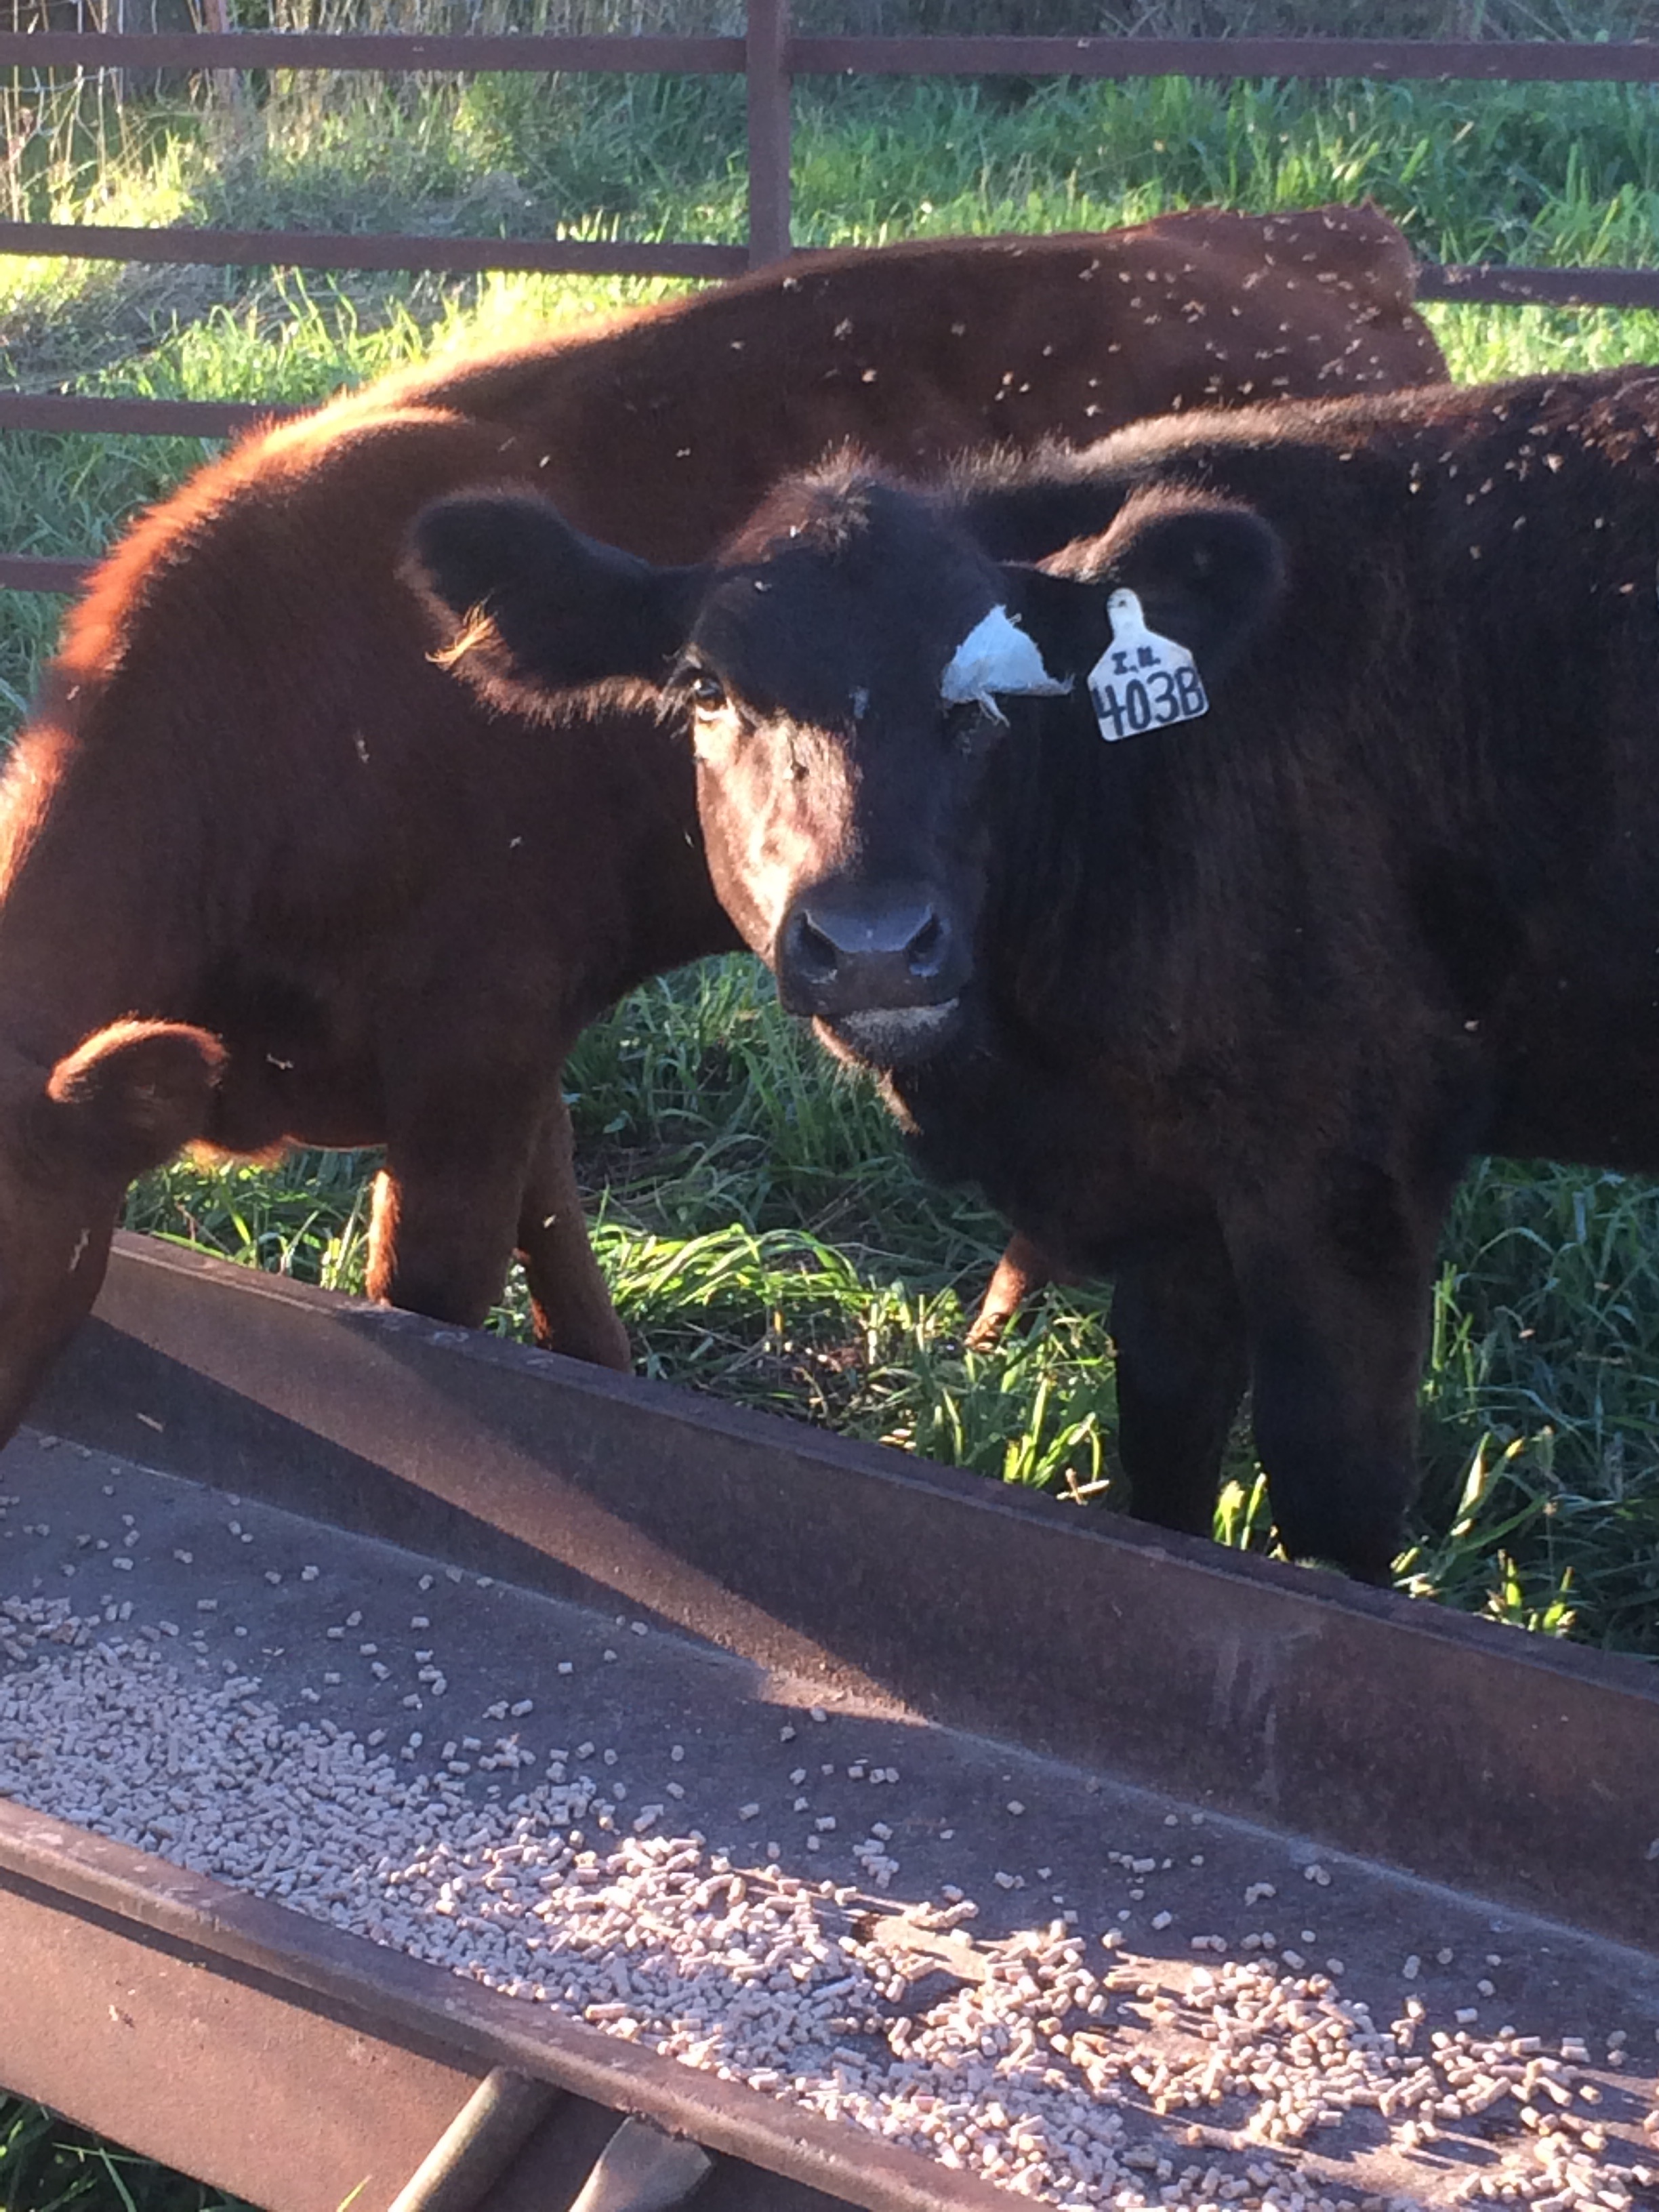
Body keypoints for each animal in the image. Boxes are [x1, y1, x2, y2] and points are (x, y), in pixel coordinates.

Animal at [408, 366, 1659, 1584]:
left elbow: (1331, 1504)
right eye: (708, 688)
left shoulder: (1349, 1169)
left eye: (994, 693)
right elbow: (1164, 1452)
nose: (872, 942)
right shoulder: (1172, 1199)